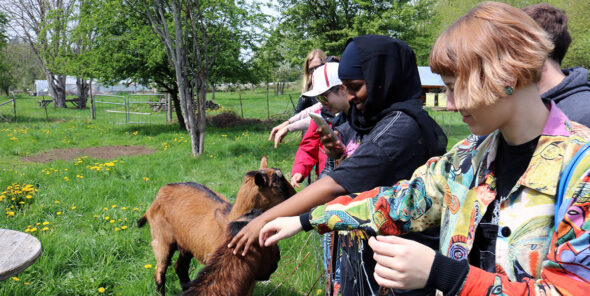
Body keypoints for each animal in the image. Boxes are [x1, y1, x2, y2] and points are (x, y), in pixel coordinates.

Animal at [138, 156, 296, 294]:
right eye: (278, 187)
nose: (296, 196)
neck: (230, 218)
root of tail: (158, 195)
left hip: (186, 244)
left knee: (180, 268)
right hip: (161, 239)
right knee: (160, 271)